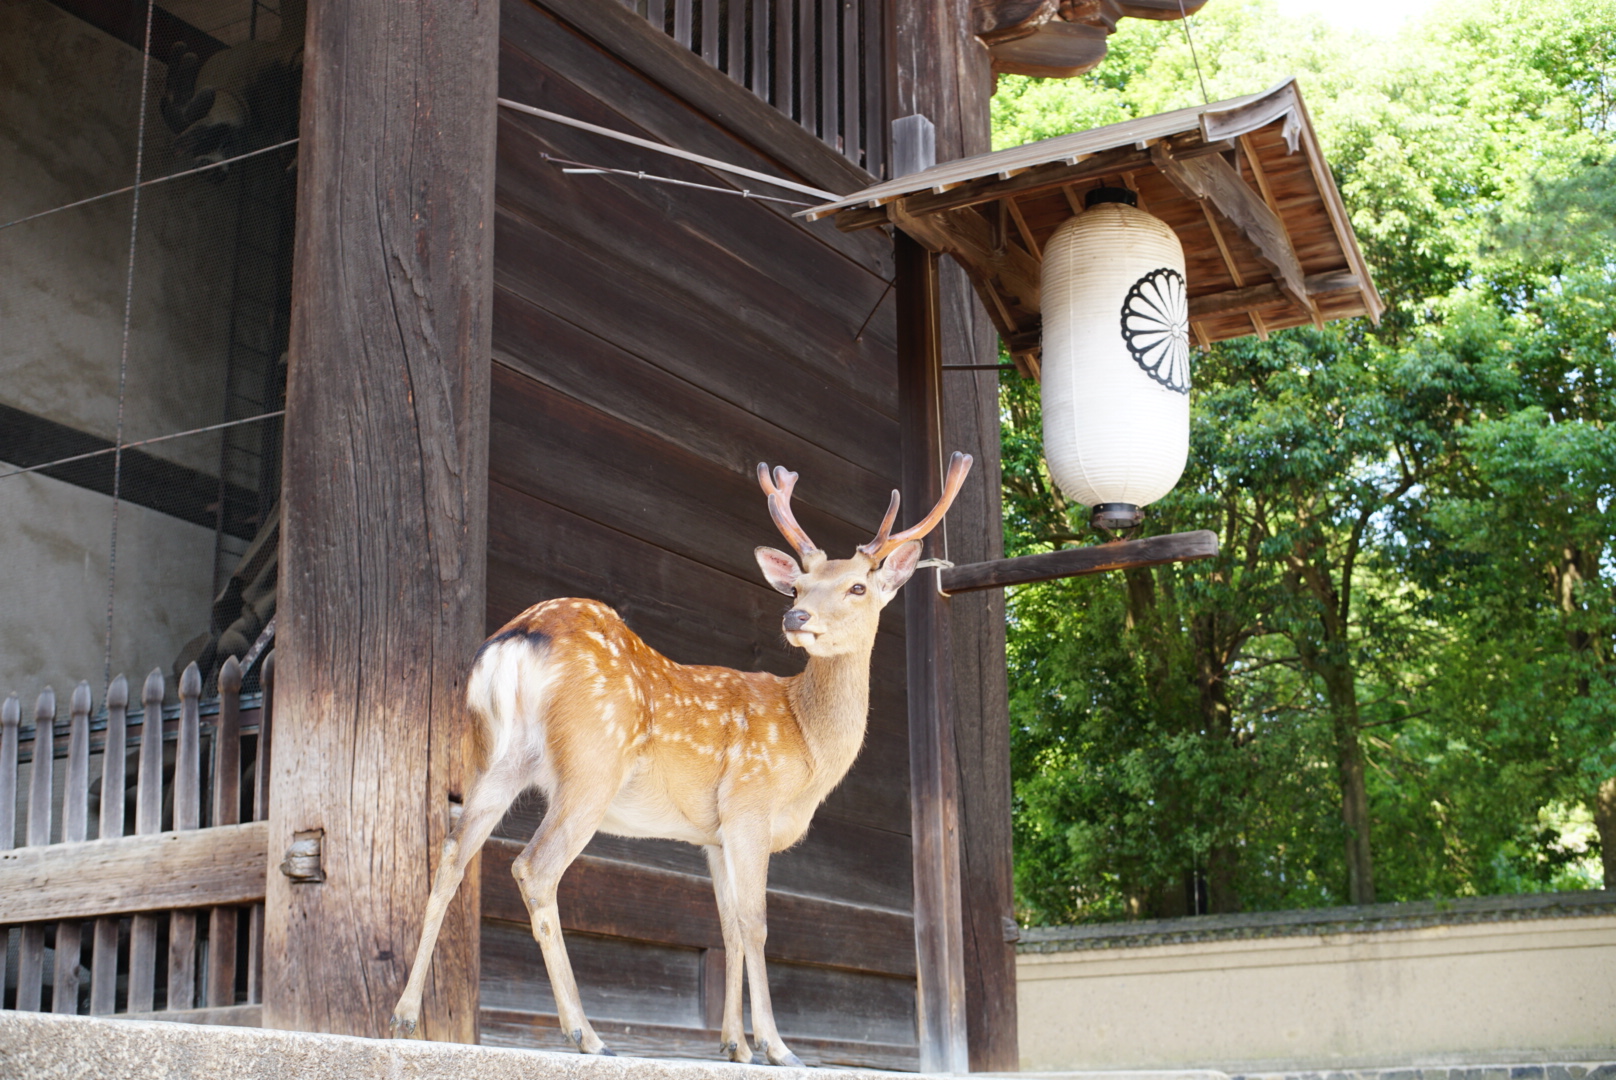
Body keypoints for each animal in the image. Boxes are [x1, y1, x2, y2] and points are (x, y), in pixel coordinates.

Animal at [390, 452, 973, 1065]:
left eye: (858, 586)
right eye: (798, 588)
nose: (796, 619)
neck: (804, 744)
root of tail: (522, 635)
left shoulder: (713, 835)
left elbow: (728, 926)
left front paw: (734, 1045)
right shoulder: (750, 802)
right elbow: (756, 923)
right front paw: (777, 1047)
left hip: (494, 758)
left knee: (452, 852)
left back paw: (404, 1016)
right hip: (591, 765)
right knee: (533, 867)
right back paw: (587, 1035)